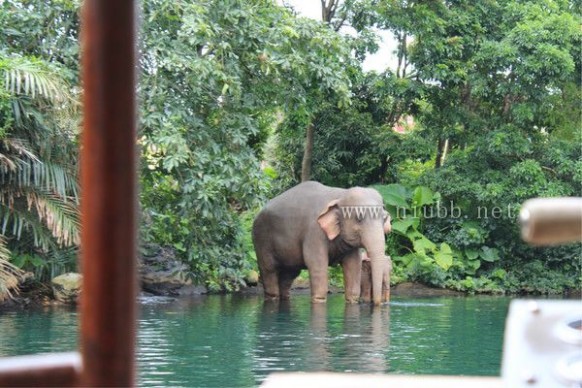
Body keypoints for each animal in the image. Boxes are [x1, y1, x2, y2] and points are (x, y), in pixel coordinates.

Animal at [252, 180, 392, 304]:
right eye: (359, 218)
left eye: (384, 218)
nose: (379, 304)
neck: (340, 194)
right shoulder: (314, 231)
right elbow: (316, 262)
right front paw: (319, 300)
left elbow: (354, 263)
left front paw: (352, 301)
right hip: (261, 240)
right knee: (269, 270)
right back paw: (272, 297)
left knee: (289, 274)